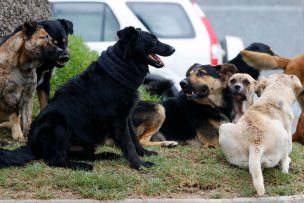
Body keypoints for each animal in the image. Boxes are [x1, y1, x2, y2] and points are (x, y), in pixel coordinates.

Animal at [0, 26, 176, 170]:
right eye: (153, 40)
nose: (173, 49)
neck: (119, 69)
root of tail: (30, 145)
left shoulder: (126, 117)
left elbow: (134, 139)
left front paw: (144, 153)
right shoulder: (118, 121)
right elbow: (128, 143)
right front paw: (139, 164)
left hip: (86, 142)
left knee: (79, 154)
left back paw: (105, 155)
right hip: (57, 124)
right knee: (55, 160)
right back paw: (81, 166)